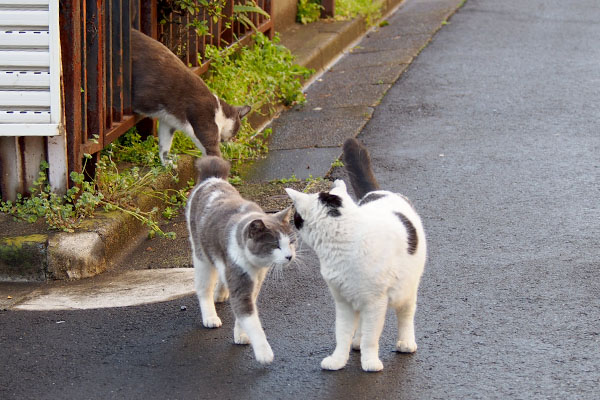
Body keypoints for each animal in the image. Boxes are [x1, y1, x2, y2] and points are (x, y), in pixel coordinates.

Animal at [131, 28, 251, 165]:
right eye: (235, 132)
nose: (229, 141)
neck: (219, 112)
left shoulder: (168, 122)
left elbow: (164, 145)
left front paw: (167, 163)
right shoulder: (205, 122)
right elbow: (213, 153)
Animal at [184, 156, 294, 366]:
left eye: (291, 242)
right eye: (275, 245)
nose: (289, 256)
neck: (256, 267)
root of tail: (212, 178)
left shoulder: (256, 282)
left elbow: (244, 316)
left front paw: (241, 335)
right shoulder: (240, 283)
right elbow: (250, 318)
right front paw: (264, 353)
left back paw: (221, 293)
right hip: (201, 255)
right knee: (203, 288)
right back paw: (210, 316)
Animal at [284, 138, 424, 372]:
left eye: (295, 217)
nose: (291, 225)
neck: (342, 245)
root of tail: (382, 192)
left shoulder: (376, 302)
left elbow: (371, 338)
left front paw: (370, 362)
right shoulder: (342, 302)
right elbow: (342, 334)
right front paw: (338, 360)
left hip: (405, 289)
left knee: (405, 314)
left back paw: (405, 343)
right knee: (361, 326)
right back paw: (356, 342)